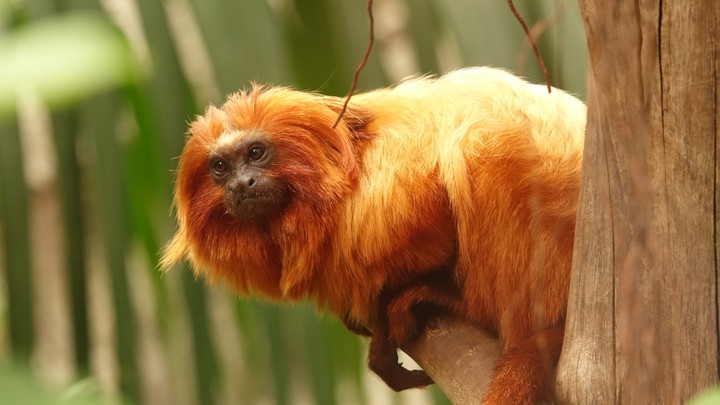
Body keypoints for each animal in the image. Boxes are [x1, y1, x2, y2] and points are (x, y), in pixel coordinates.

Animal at [161, 67, 586, 404]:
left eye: (255, 153)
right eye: (219, 166)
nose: (241, 185)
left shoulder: (395, 178)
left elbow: (434, 216)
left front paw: (388, 313)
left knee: (481, 145)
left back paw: (457, 300)